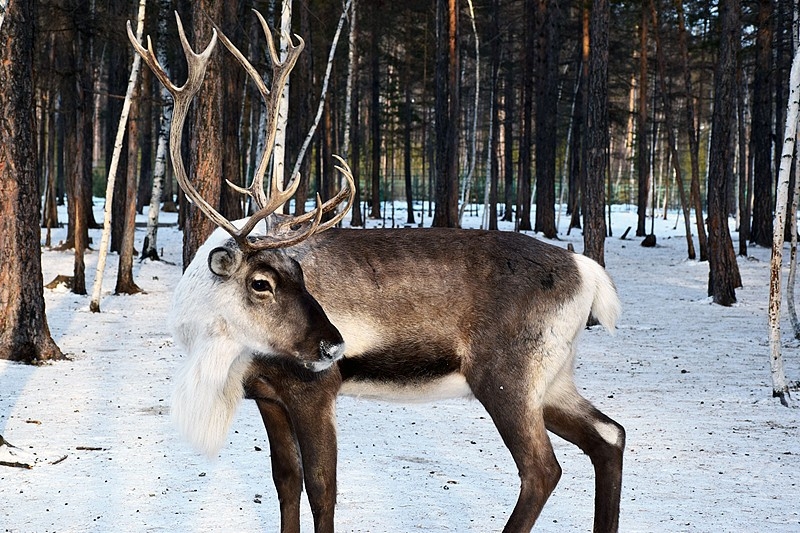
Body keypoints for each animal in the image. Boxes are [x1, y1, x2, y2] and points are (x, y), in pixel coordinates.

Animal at [129, 12, 625, 533]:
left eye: (298, 273)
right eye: (262, 282)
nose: (335, 345)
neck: (217, 351)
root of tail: (586, 271)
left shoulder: (314, 390)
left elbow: (321, 488)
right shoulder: (268, 398)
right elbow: (285, 481)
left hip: (508, 377)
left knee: (543, 469)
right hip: (553, 378)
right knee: (609, 435)